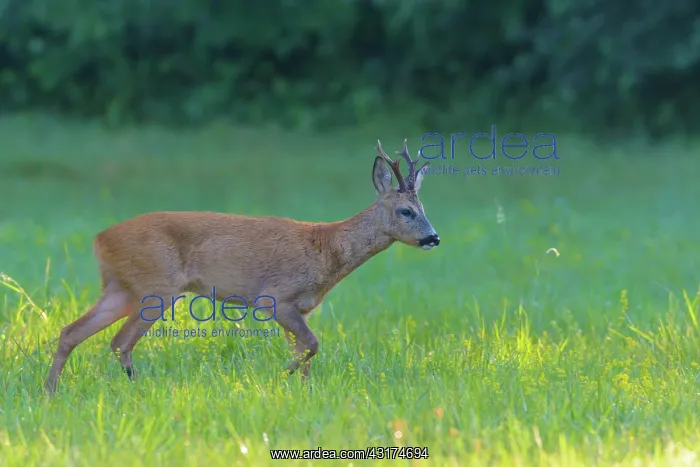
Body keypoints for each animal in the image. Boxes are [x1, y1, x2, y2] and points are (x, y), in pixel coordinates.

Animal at [44, 139, 440, 394]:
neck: (328, 249)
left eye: (425, 209)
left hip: (121, 287)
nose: (433, 238)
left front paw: (301, 390)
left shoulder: (301, 307)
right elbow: (312, 345)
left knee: (71, 332)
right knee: (119, 341)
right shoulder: (275, 297)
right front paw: (277, 378)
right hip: (157, 286)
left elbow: (305, 350)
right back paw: (138, 388)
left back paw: (50, 391)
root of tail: (99, 238)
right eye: (406, 211)